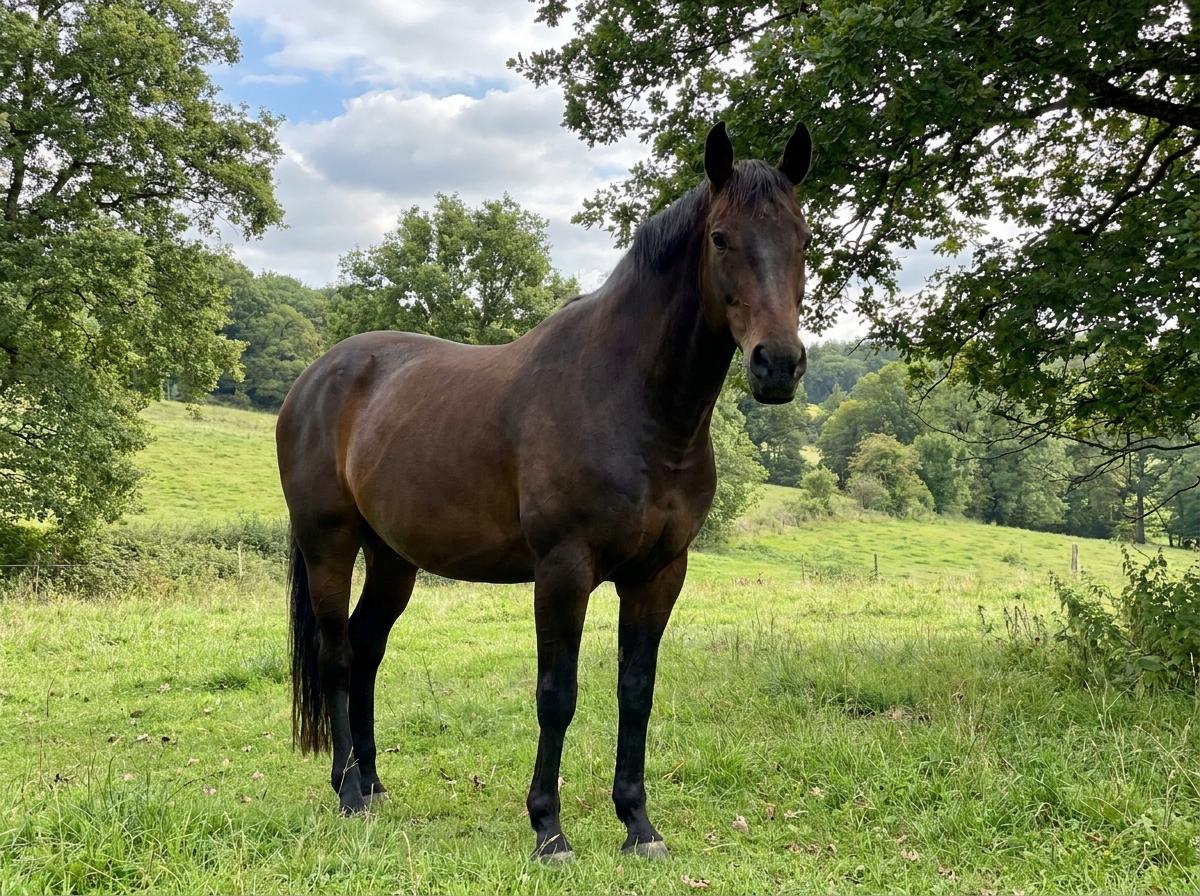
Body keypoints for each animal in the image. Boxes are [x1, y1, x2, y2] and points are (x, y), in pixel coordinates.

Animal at [276, 120, 814, 862]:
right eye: (720, 238)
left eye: (804, 238)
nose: (778, 364)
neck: (633, 405)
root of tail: (315, 378)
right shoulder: (563, 570)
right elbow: (557, 694)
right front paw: (549, 829)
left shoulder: (660, 574)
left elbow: (636, 692)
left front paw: (638, 824)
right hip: (328, 543)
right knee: (336, 655)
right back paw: (349, 792)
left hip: (393, 559)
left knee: (367, 649)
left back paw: (375, 783)